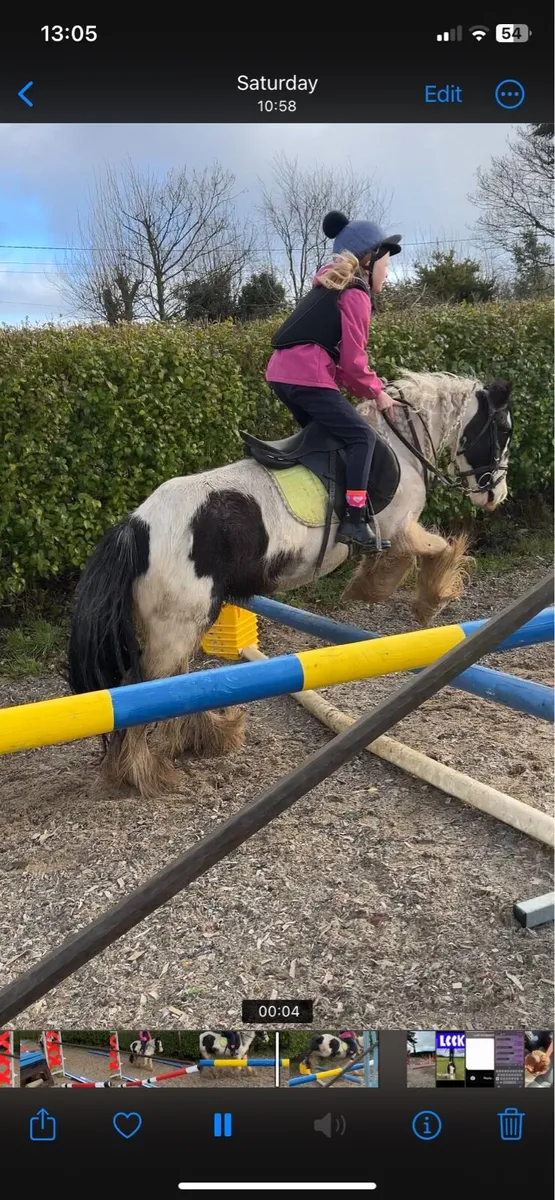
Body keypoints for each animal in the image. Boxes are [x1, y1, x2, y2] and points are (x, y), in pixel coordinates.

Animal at [68, 370, 513, 798]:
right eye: (503, 430)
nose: (496, 496)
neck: (401, 441)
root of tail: (135, 527)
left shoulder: (396, 530)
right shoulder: (397, 526)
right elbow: (431, 549)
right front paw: (426, 596)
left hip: (181, 626)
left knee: (176, 686)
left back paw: (208, 737)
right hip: (178, 626)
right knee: (144, 690)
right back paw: (147, 772)